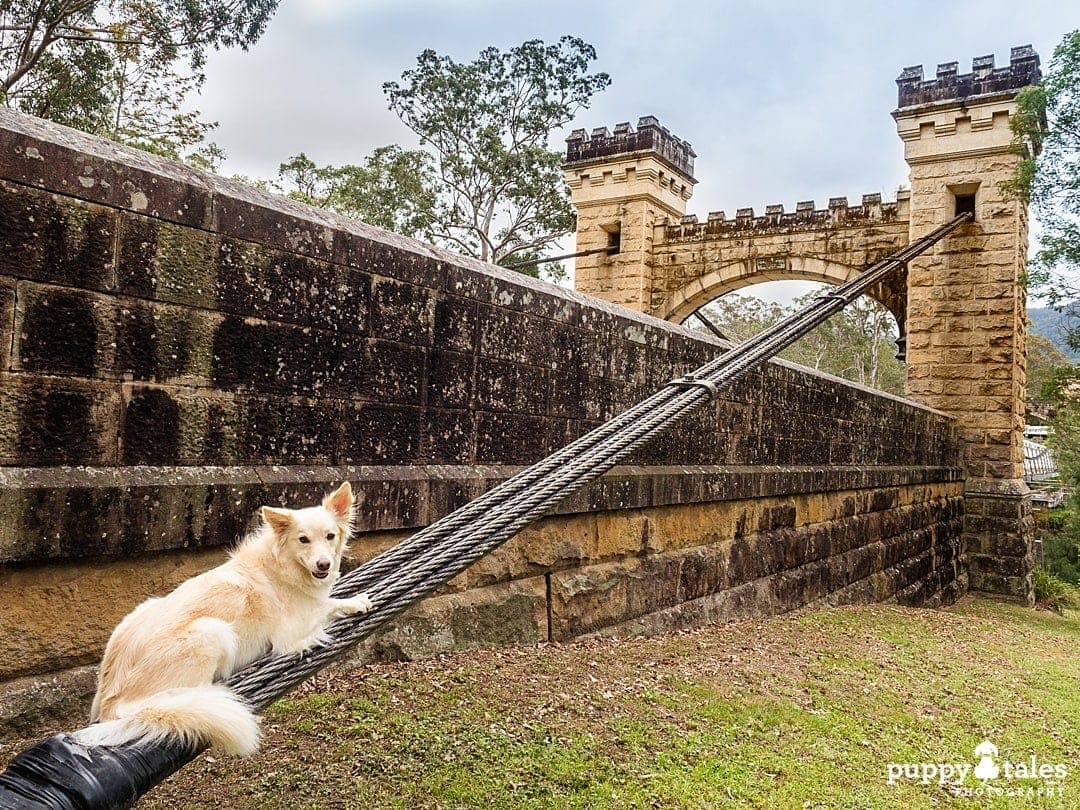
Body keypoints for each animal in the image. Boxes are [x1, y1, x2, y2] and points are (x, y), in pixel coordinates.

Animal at [75, 481, 371, 756]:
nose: (324, 565)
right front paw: (354, 602)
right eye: (303, 540)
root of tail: (111, 702)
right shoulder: (289, 632)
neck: (284, 565)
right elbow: (326, 606)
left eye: (330, 536)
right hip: (213, 630)